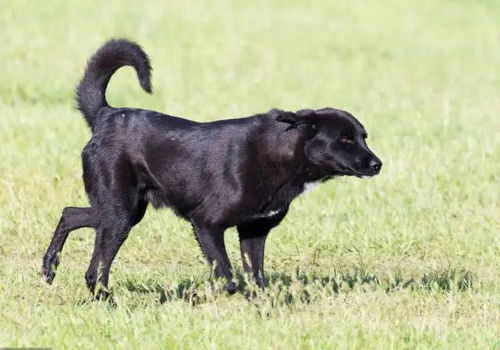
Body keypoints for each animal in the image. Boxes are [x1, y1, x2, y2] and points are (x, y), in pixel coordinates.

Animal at [41, 40, 382, 298]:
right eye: (344, 138)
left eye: (363, 136)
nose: (377, 164)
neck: (282, 154)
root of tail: (106, 115)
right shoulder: (206, 224)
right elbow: (227, 277)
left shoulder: (254, 230)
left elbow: (256, 279)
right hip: (120, 212)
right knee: (94, 265)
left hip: (125, 210)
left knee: (71, 215)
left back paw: (51, 269)